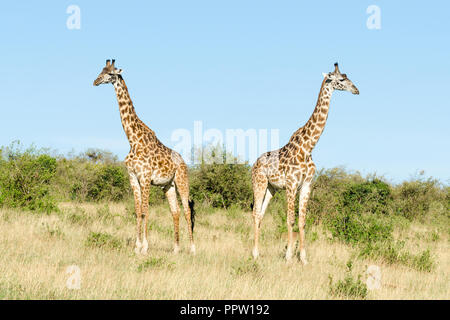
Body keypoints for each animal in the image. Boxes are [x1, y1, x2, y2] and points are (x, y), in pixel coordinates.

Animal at [94, 59, 194, 255]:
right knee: (175, 211)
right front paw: (136, 246)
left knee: (186, 210)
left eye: (110, 73)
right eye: (101, 70)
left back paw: (193, 249)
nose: (95, 81)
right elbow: (137, 210)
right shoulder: (133, 177)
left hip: (181, 180)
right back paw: (176, 249)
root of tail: (184, 162)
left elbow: (145, 210)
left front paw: (144, 247)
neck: (133, 139)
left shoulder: (145, 177)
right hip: (168, 186)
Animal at [250, 62, 358, 262]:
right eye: (341, 79)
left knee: (260, 214)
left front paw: (304, 258)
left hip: (271, 188)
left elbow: (302, 221)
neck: (308, 148)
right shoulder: (292, 184)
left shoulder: (307, 185)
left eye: (348, 76)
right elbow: (290, 219)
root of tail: (254, 163)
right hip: (259, 183)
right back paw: (254, 254)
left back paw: (258, 253)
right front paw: (288, 257)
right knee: (255, 213)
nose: (356, 90)